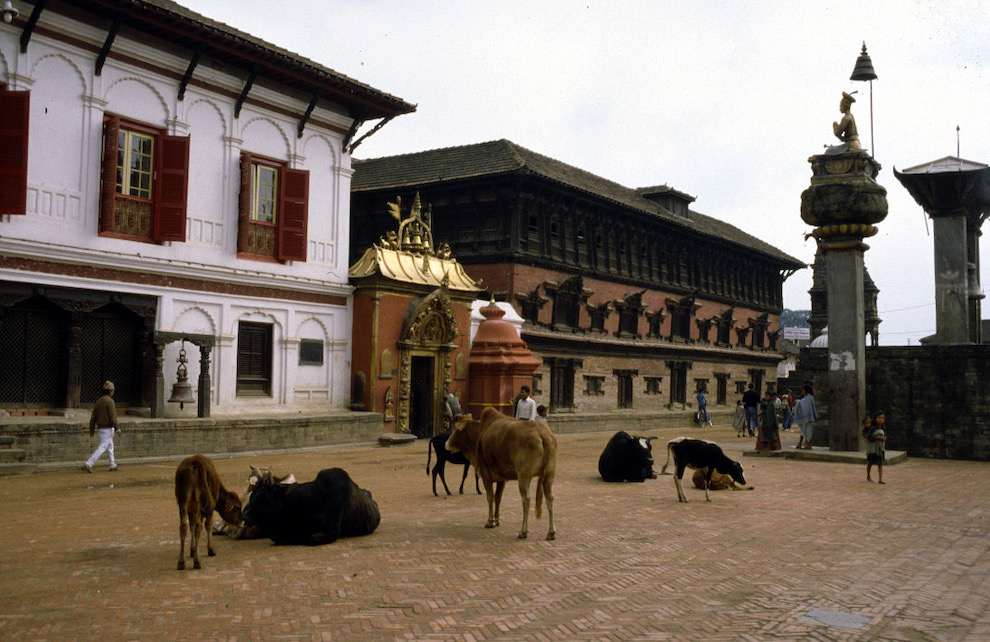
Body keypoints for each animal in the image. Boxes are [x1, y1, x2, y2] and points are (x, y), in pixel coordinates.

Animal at [448, 408, 560, 536]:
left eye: (456, 429)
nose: (447, 443)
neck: (479, 434)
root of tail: (543, 434)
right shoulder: (502, 478)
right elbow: (498, 498)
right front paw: (497, 520)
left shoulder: (485, 474)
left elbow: (490, 497)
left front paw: (490, 521)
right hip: (549, 475)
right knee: (550, 497)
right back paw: (551, 532)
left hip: (524, 476)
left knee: (526, 499)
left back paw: (523, 531)